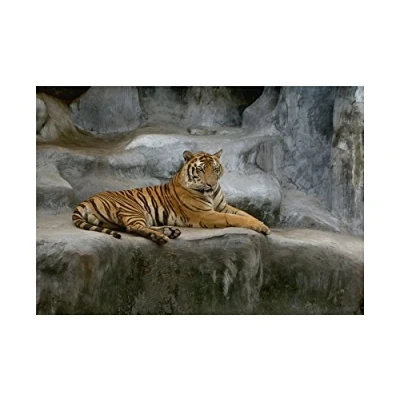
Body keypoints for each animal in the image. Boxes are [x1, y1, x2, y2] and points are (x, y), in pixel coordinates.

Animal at [72, 149, 271, 244]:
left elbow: (245, 214)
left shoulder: (223, 206)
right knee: (133, 227)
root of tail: (87, 200)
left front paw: (262, 225)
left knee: (132, 227)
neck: (211, 194)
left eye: (215, 169)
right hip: (133, 209)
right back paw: (161, 237)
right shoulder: (206, 214)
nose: (211, 184)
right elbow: (233, 218)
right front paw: (261, 227)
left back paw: (170, 231)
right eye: (201, 169)